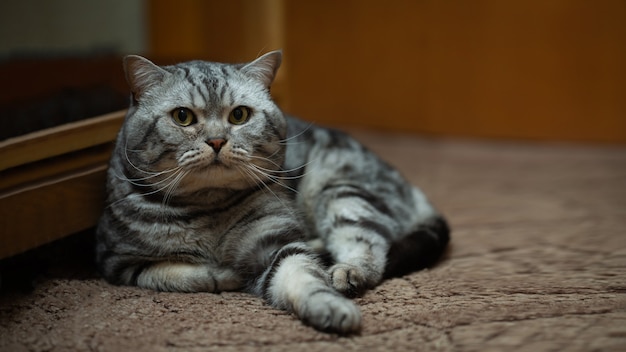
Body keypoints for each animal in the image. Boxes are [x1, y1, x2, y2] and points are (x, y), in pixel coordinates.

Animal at [95, 49, 448, 332]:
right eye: (182, 116)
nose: (217, 140)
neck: (207, 209)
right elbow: (177, 273)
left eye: (239, 115)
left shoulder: (277, 243)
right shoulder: (119, 261)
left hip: (342, 192)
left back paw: (345, 271)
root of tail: (412, 189)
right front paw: (224, 275)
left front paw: (330, 307)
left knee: (371, 248)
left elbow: (303, 276)